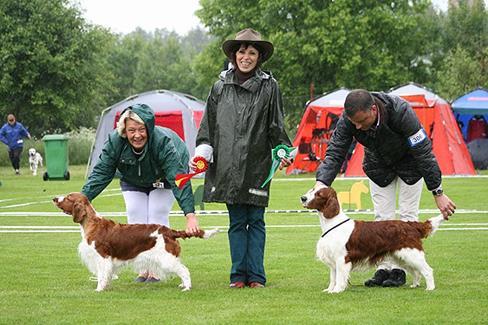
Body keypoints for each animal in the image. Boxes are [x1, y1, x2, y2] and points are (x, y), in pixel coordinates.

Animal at [53, 192, 217, 292]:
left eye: (67, 198)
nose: (54, 198)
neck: (92, 224)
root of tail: (169, 231)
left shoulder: (102, 257)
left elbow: (102, 275)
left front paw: (99, 289)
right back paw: (183, 284)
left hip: (166, 258)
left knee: (184, 270)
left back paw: (186, 287)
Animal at [300, 186, 444, 292]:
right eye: (312, 190)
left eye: (319, 194)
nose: (303, 198)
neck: (332, 222)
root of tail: (411, 225)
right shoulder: (333, 259)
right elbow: (333, 277)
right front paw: (329, 289)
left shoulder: (342, 259)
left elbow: (340, 278)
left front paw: (337, 290)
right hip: (401, 256)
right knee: (415, 271)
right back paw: (415, 284)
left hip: (411, 253)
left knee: (427, 270)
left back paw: (430, 288)